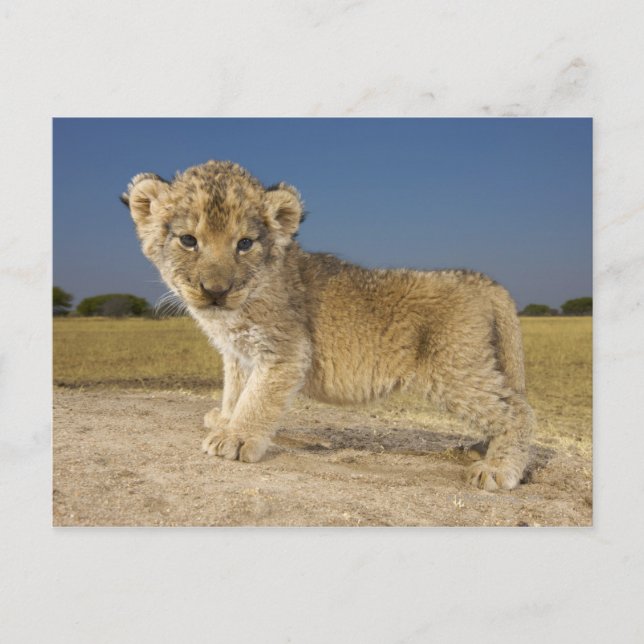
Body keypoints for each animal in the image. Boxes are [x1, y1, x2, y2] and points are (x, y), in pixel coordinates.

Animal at [122, 160, 535, 490]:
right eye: (188, 240)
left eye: (245, 244)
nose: (216, 291)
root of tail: (482, 280)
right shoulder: (238, 355)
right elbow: (235, 391)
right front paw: (223, 420)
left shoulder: (287, 351)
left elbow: (256, 399)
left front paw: (235, 438)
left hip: (453, 370)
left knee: (518, 409)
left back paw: (498, 469)